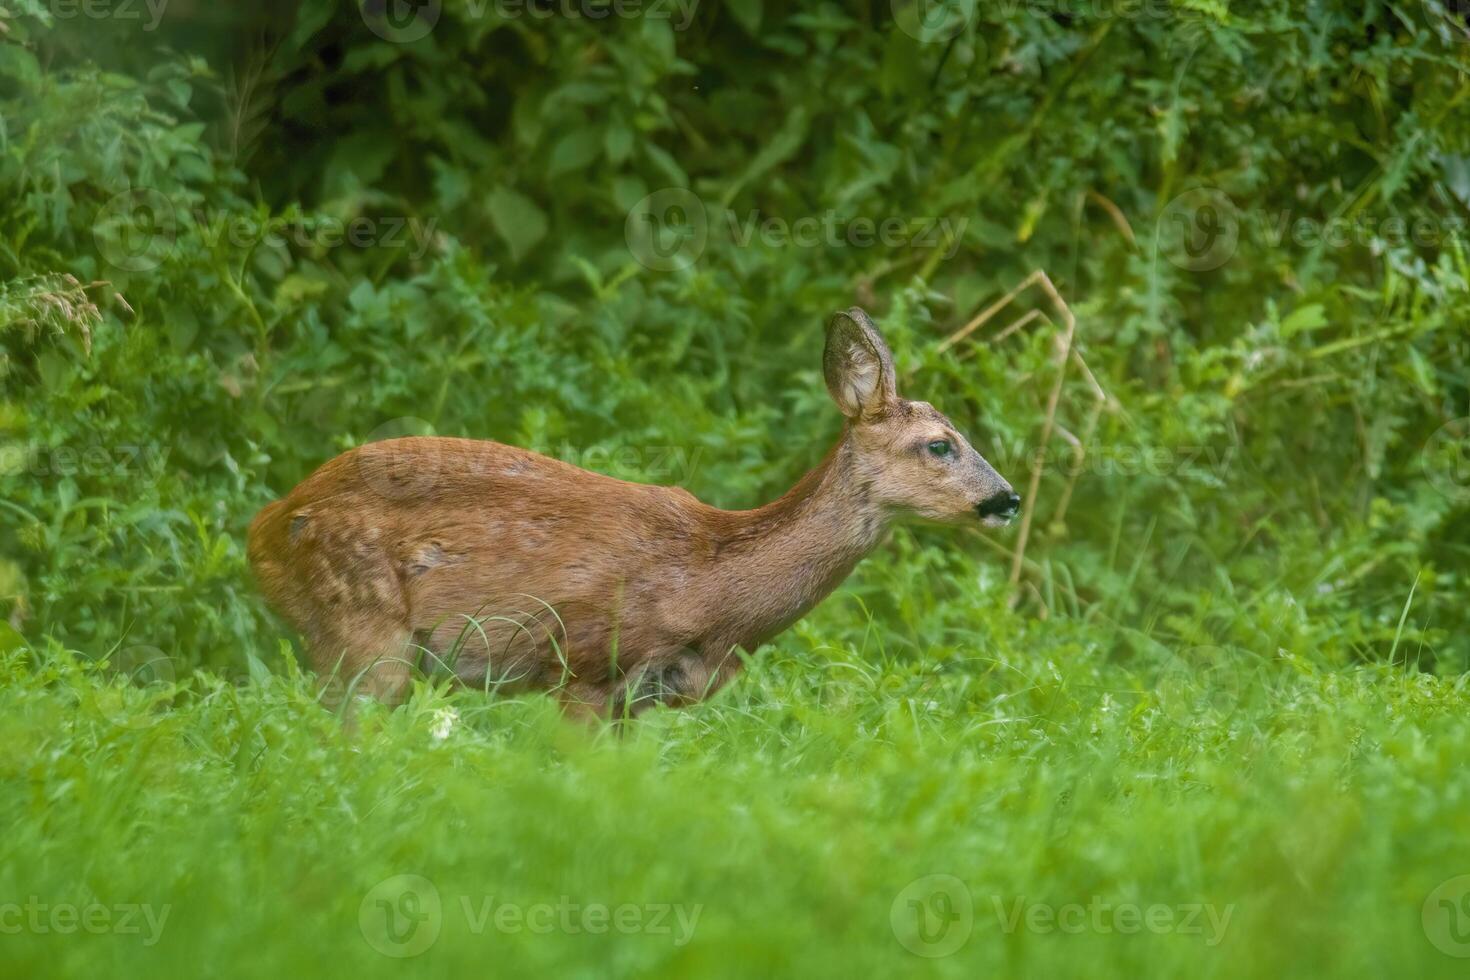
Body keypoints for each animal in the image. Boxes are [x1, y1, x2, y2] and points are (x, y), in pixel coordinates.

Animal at [244, 310, 1023, 725]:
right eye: (940, 444)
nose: (1009, 498)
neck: (711, 586)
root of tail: (264, 529)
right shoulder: (586, 666)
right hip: (363, 630)